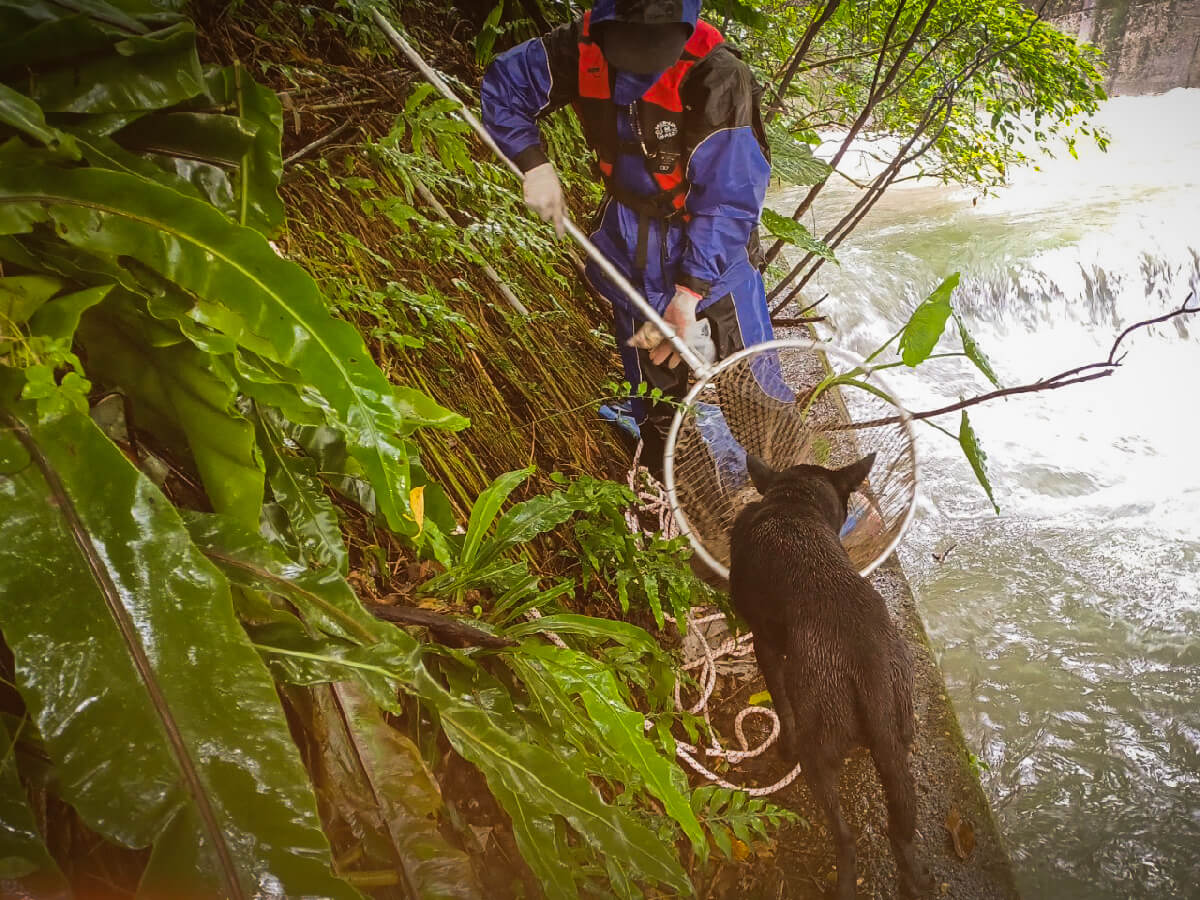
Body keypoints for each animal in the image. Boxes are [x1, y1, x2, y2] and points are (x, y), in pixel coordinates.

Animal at [724, 458, 931, 900]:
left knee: (845, 838)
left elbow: (782, 707)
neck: (795, 502)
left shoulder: (765, 645)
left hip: (819, 749)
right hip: (899, 737)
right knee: (901, 830)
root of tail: (870, 666)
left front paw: (781, 750)